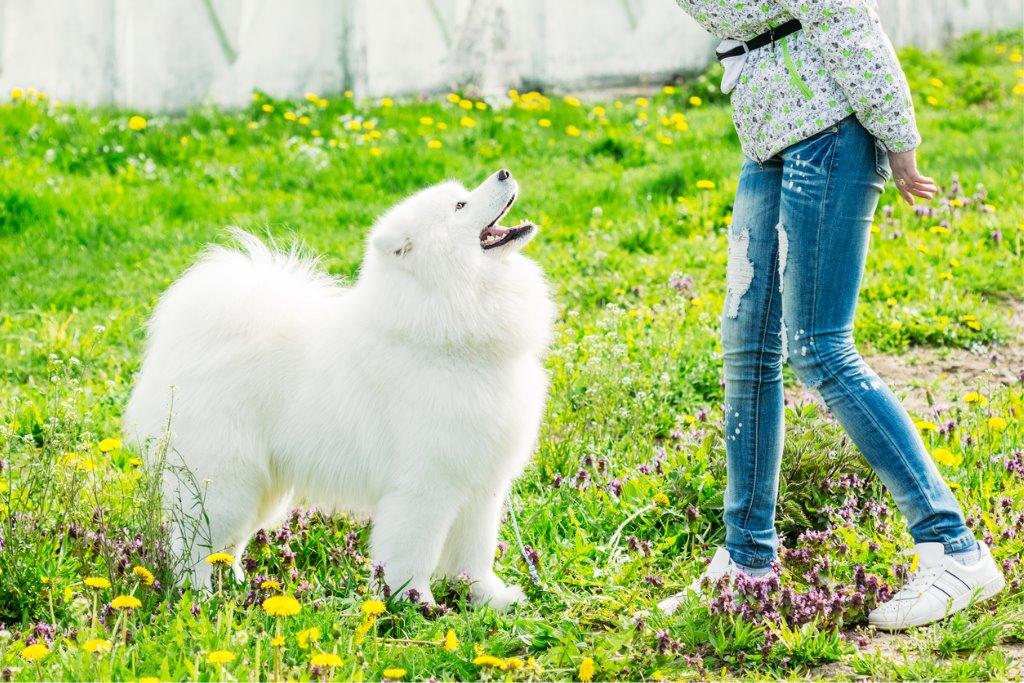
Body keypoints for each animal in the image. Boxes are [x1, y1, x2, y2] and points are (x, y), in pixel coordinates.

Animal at [123, 171, 557, 610]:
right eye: (460, 206)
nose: (504, 173)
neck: (446, 328)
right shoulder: (424, 488)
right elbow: (412, 555)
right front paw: (417, 605)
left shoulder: (482, 487)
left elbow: (475, 554)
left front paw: (489, 598)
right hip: (225, 483)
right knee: (191, 547)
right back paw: (200, 597)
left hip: (260, 489)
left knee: (228, 543)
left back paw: (241, 585)